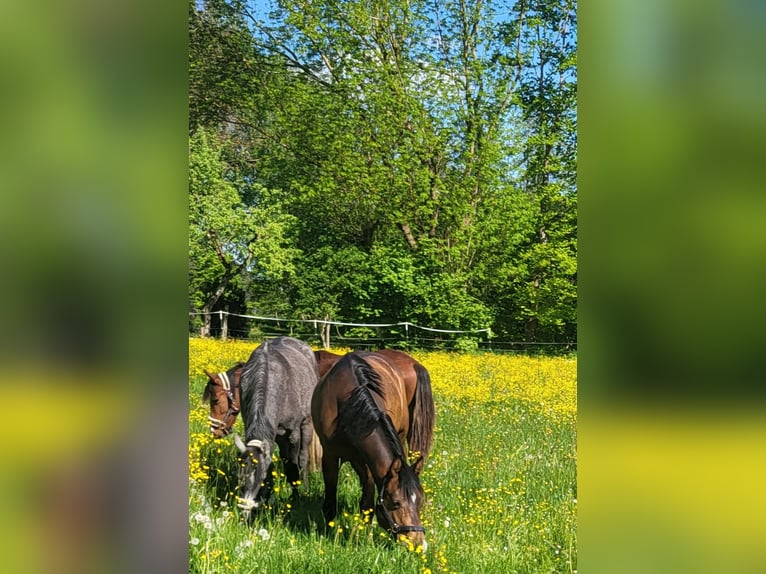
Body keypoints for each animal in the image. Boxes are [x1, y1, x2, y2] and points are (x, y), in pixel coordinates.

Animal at [231, 337, 320, 518]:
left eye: (261, 475)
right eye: (240, 475)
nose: (245, 514)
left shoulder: (293, 433)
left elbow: (292, 466)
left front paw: (296, 497)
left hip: (306, 425)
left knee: (303, 457)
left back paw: (305, 486)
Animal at [311, 351, 428, 551]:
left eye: (420, 500)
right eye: (396, 503)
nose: (418, 543)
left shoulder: (369, 464)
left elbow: (367, 505)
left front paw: (363, 540)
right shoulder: (330, 456)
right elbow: (330, 501)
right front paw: (329, 533)